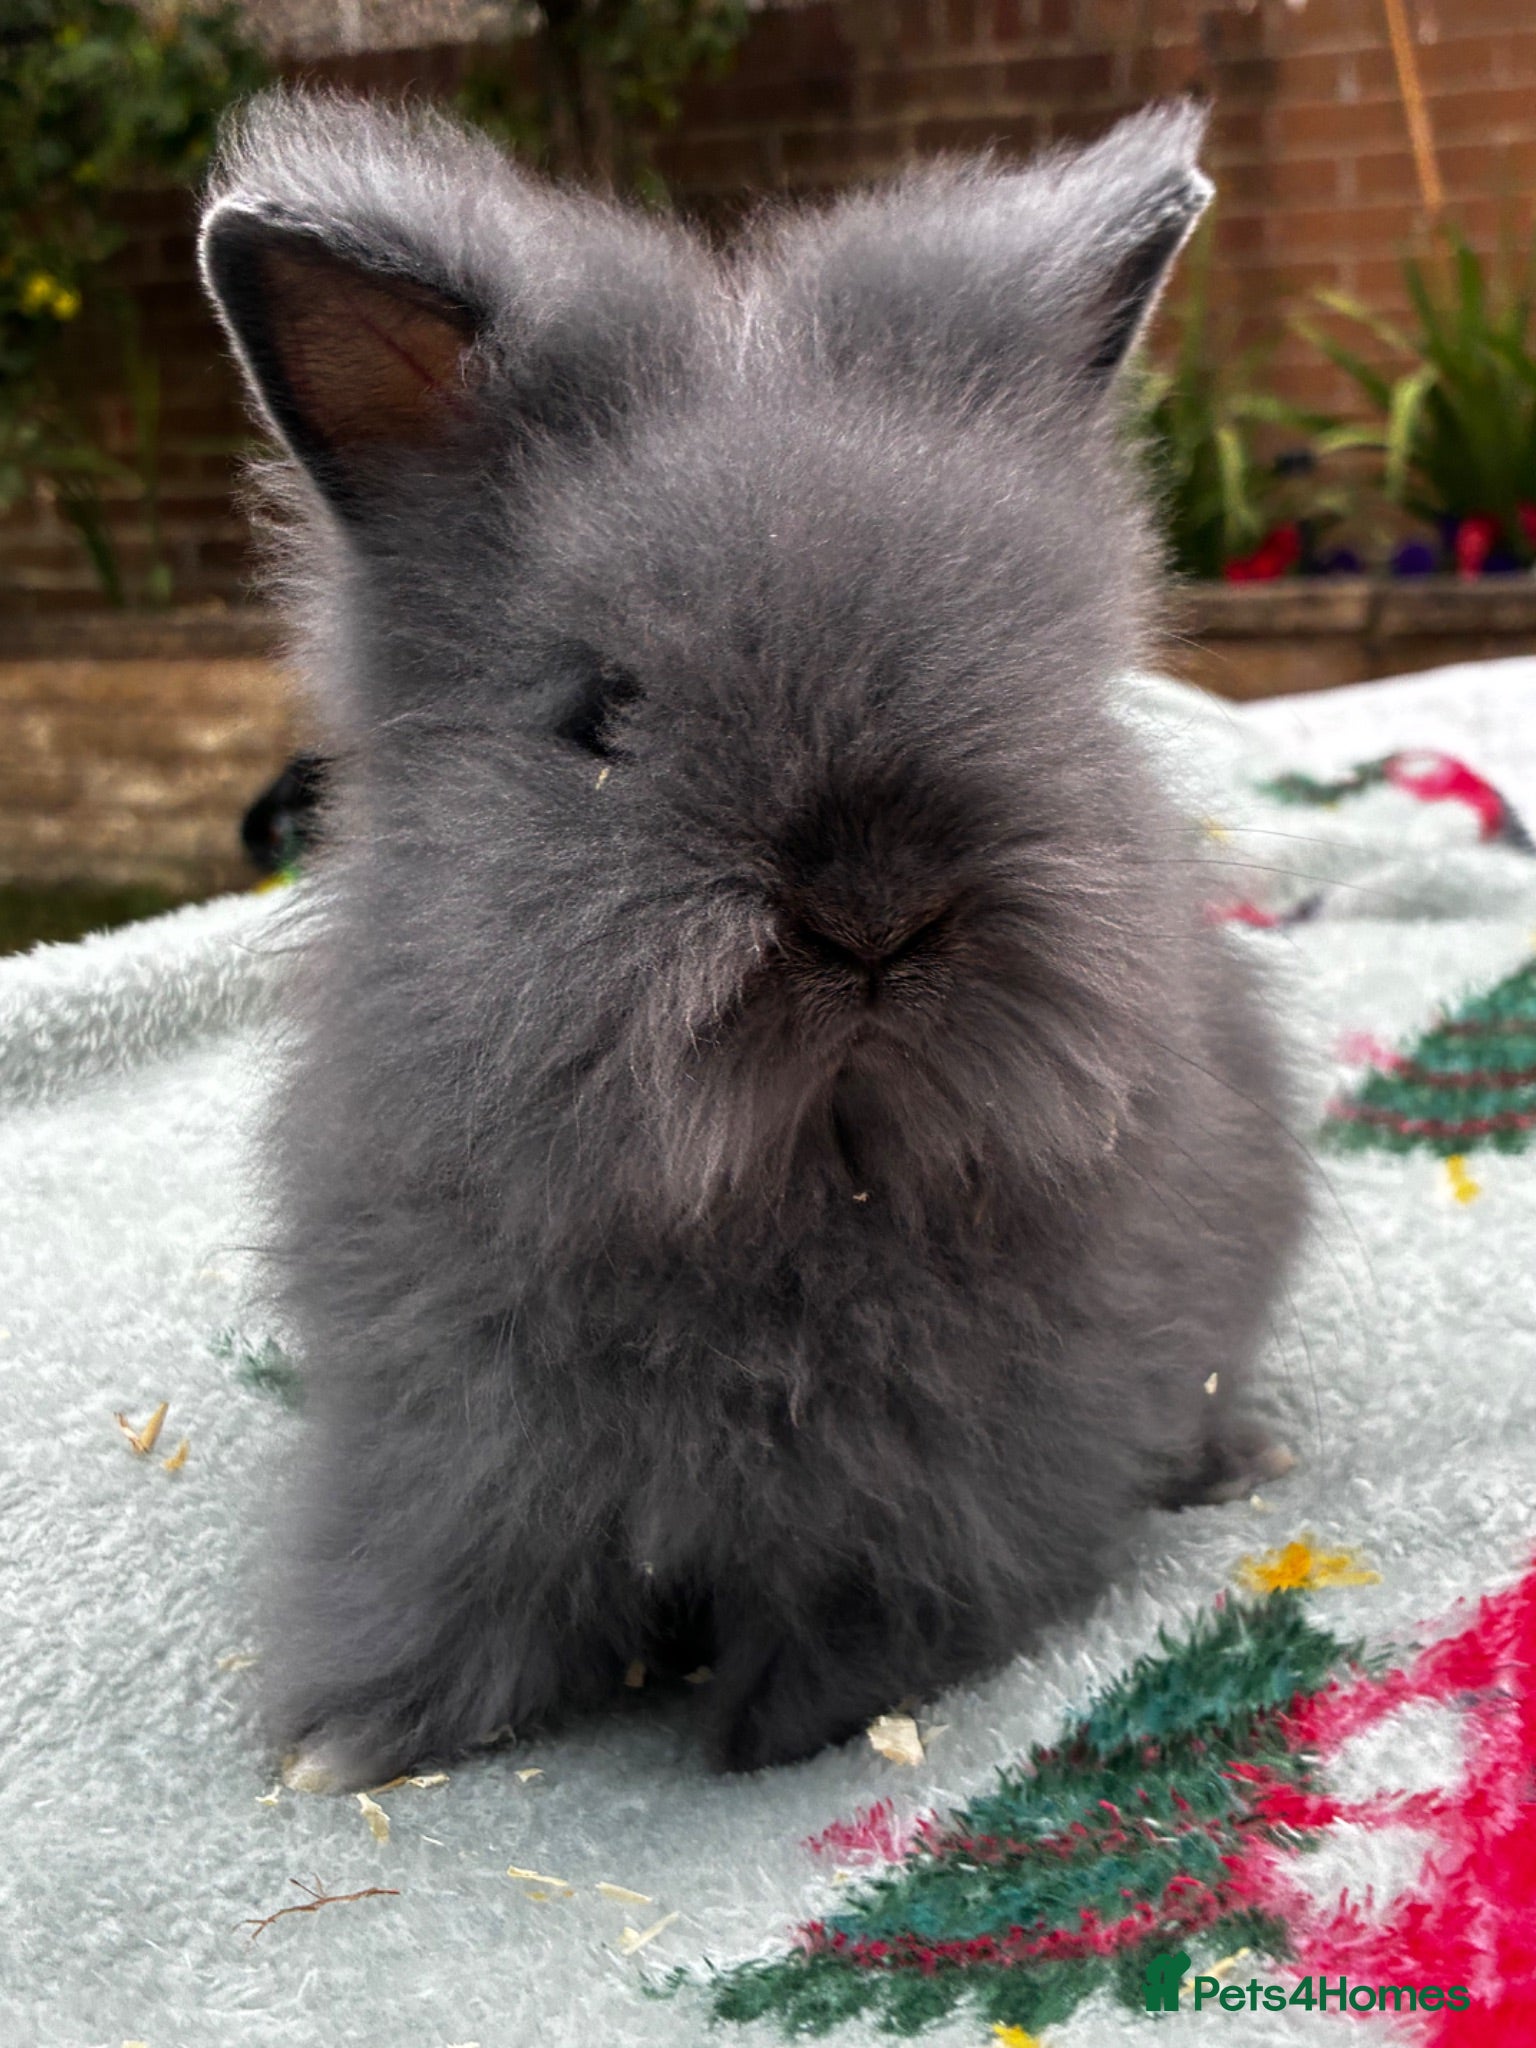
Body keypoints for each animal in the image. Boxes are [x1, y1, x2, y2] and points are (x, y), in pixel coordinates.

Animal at [199, 89, 1305, 1792]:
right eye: (599, 714)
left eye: (1044, 684)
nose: (872, 914)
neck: (787, 1179)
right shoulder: (448, 1438)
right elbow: (454, 1584)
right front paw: (353, 1738)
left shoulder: (959, 1474)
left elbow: (879, 1597)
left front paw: (776, 1727)